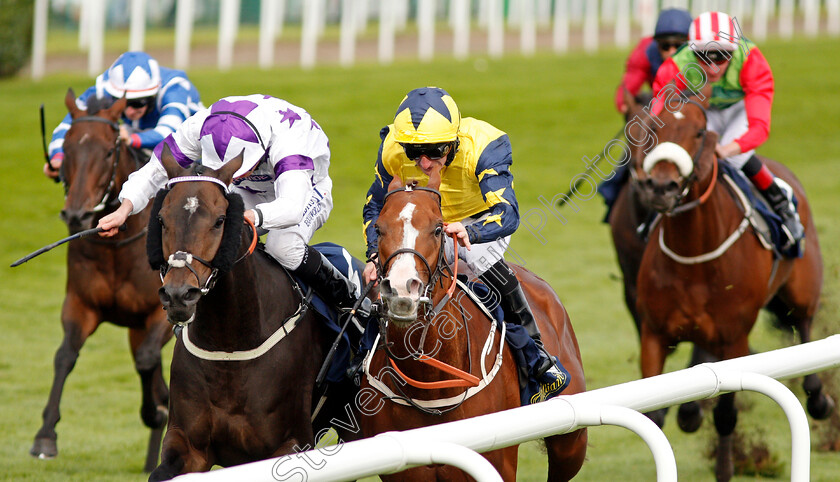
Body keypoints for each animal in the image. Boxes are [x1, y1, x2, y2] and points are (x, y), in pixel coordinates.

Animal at [29, 89, 171, 470]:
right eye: (67, 147)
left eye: (109, 151)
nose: (76, 214)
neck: (116, 248)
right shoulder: (81, 305)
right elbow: (65, 355)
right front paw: (45, 436)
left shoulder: (162, 314)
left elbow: (148, 361)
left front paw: (155, 412)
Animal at [148, 145, 358, 480]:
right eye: (161, 218)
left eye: (220, 220)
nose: (179, 294)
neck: (229, 345)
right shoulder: (189, 446)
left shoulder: (290, 443)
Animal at [362, 171, 592, 480]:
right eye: (379, 228)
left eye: (438, 229)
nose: (401, 291)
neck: (431, 384)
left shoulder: (498, 460)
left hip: (571, 440)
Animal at [632, 89, 832, 478]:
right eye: (653, 128)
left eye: (698, 133)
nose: (661, 187)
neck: (693, 255)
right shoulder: (654, 334)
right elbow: (654, 415)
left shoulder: (734, 339)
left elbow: (726, 415)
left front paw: (725, 469)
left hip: (800, 291)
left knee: (803, 326)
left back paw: (818, 398)